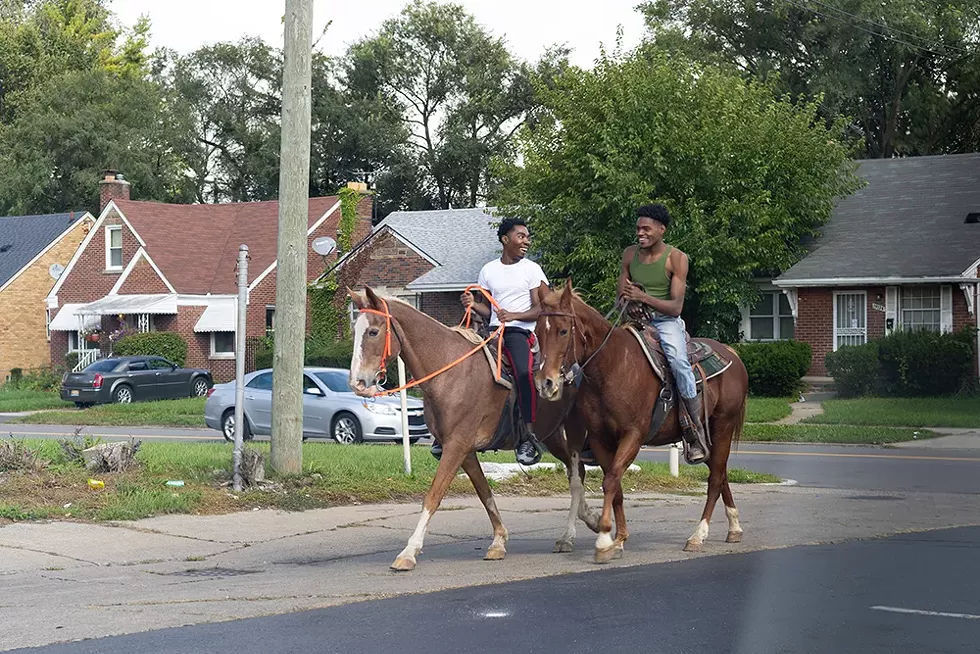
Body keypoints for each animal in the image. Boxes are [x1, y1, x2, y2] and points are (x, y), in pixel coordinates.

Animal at [348, 292, 600, 576]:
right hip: (552, 436)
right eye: (355, 330)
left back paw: (570, 535)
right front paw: (499, 541)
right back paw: (589, 519)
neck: (449, 371)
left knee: (579, 475)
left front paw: (409, 552)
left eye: (373, 331)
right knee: (576, 472)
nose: (357, 383)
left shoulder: (456, 446)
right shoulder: (465, 451)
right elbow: (484, 492)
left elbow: (433, 496)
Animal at [532, 284, 748, 568]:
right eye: (537, 331)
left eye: (563, 330)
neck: (612, 367)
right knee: (720, 473)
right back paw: (734, 527)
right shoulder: (601, 440)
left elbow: (611, 481)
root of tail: (730, 353)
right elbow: (616, 487)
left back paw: (698, 535)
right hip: (706, 437)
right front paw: (619, 539)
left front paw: (604, 540)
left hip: (723, 426)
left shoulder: (632, 436)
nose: (545, 383)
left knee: (714, 479)